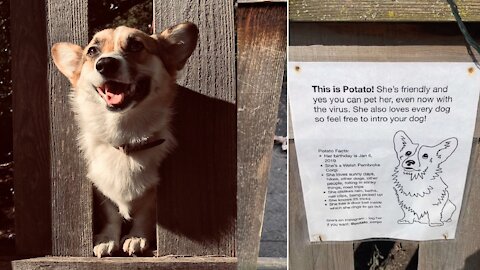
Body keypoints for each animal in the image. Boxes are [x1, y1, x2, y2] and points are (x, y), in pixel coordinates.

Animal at [53, 22, 201, 256]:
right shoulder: (103, 190)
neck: (124, 136)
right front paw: (107, 239)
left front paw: (136, 237)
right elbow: (112, 213)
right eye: (92, 51)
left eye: (135, 45)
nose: (105, 64)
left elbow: (145, 213)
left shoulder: (152, 194)